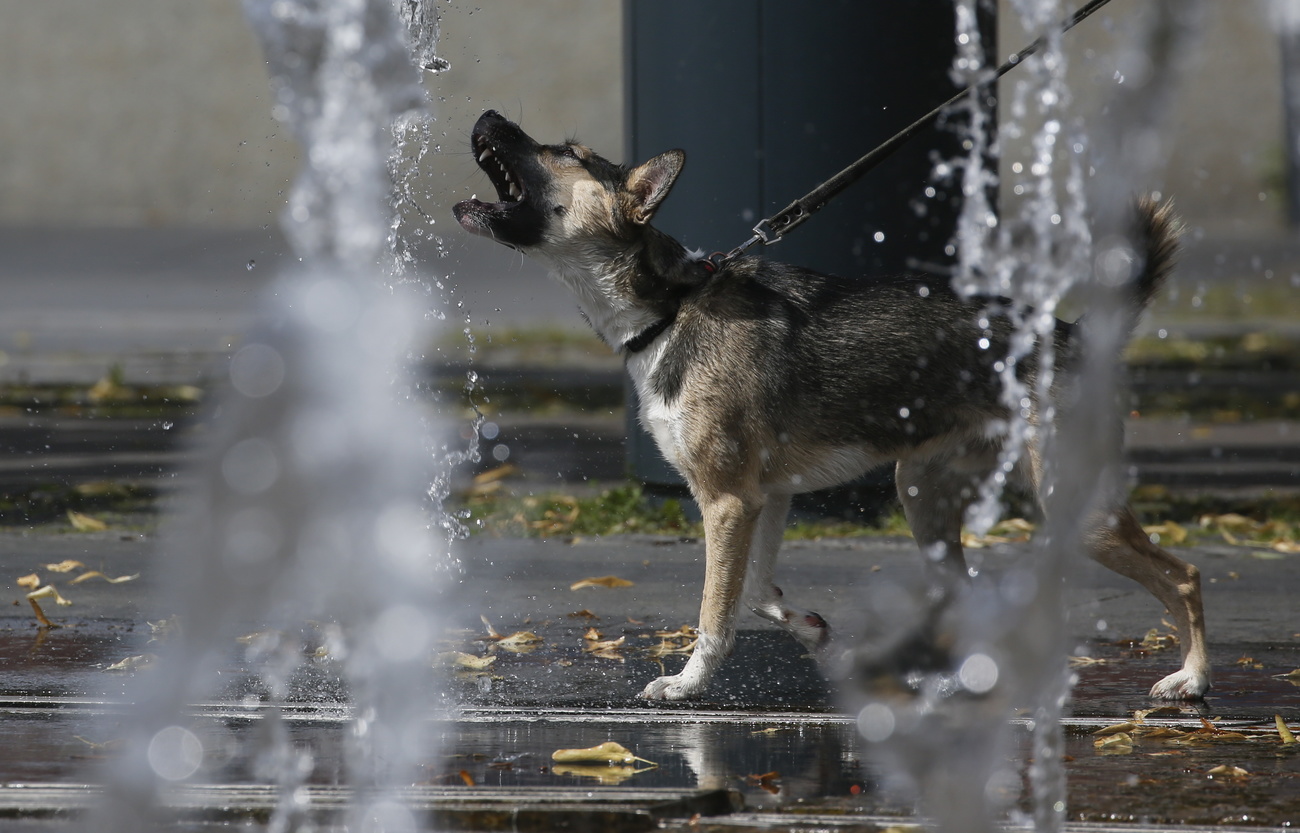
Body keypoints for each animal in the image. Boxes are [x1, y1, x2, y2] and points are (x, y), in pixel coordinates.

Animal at [449, 109, 1206, 701]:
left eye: (567, 154)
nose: (486, 114)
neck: (668, 309)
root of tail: (1077, 335)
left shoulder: (727, 502)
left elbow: (715, 614)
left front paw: (688, 685)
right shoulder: (766, 498)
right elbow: (757, 592)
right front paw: (810, 628)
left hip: (1075, 508)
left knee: (1185, 576)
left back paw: (1191, 679)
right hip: (921, 492)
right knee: (965, 593)